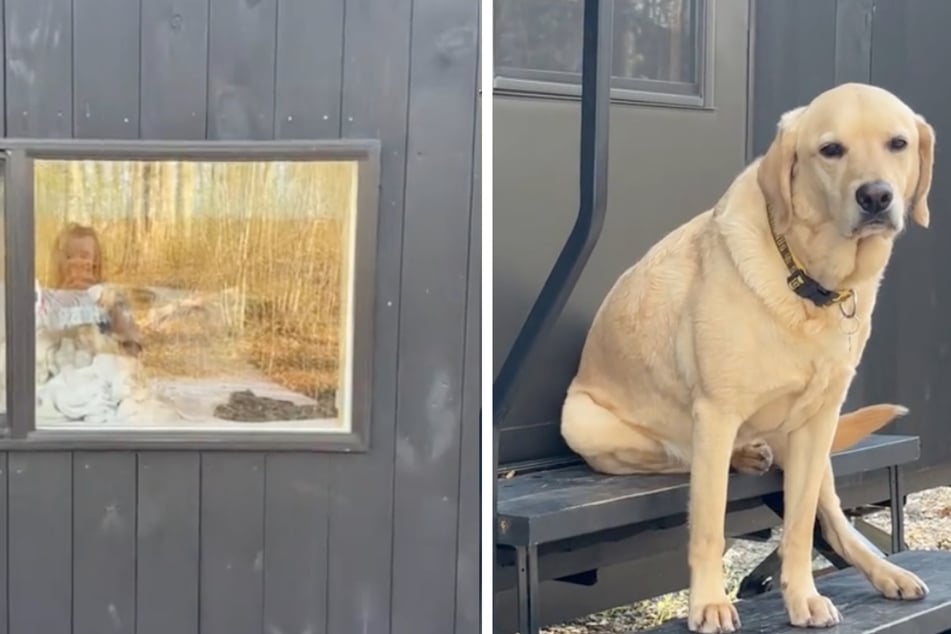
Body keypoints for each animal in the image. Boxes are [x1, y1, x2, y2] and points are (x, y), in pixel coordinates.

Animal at [560, 82, 932, 628]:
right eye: (830, 150)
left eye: (898, 143)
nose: (875, 196)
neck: (809, 283)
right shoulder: (717, 414)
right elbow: (709, 524)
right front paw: (709, 604)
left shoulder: (817, 423)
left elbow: (800, 526)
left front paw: (803, 597)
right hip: (585, 422)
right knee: (676, 458)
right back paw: (742, 455)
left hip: (812, 450)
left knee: (836, 521)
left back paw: (887, 571)